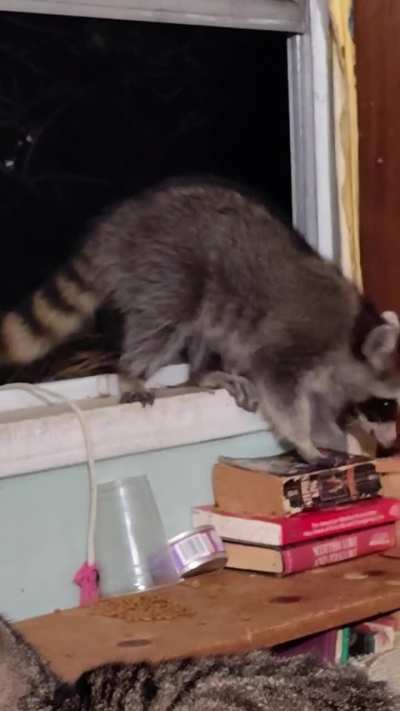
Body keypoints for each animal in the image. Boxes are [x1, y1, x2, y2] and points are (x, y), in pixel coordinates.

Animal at [2, 177, 400, 463]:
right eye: (387, 406)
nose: (392, 447)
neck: (354, 335)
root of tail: (122, 222)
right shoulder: (297, 348)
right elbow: (282, 393)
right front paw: (306, 442)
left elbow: (317, 405)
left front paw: (334, 437)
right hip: (167, 268)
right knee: (164, 324)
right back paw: (132, 372)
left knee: (205, 332)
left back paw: (202, 372)